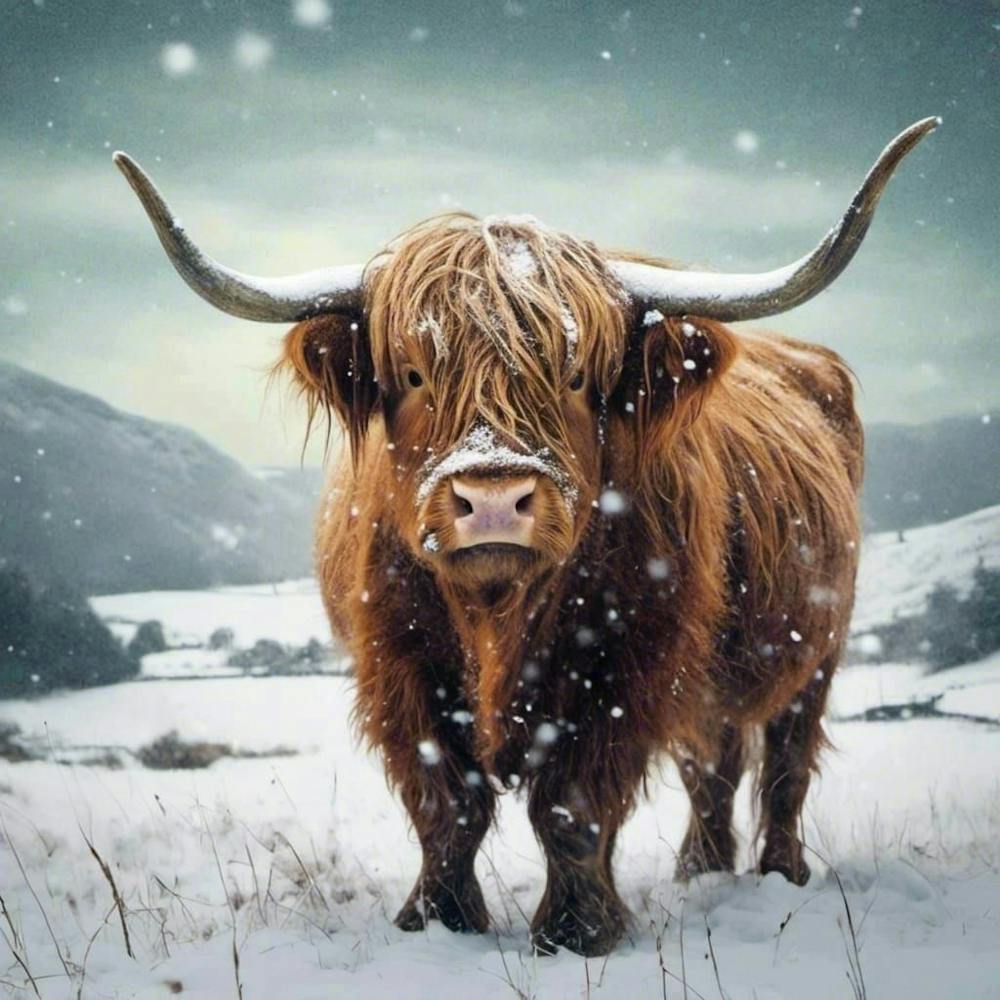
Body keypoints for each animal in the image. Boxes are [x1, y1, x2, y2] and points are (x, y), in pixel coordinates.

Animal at [115, 117, 938, 956]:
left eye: (575, 377)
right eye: (414, 373)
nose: (493, 498)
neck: (499, 614)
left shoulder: (624, 664)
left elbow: (573, 805)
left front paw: (579, 929)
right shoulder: (400, 667)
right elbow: (447, 804)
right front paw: (438, 918)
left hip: (817, 647)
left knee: (784, 763)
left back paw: (780, 873)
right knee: (713, 761)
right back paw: (699, 869)